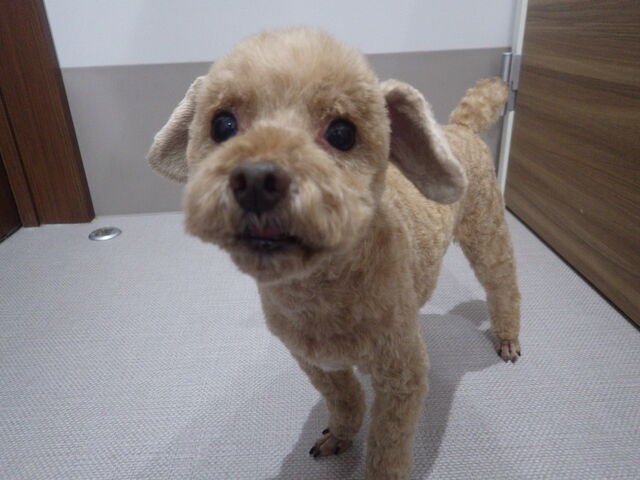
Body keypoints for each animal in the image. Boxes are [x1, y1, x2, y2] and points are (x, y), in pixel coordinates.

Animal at [147, 26, 521, 480]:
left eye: (342, 133)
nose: (256, 180)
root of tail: (460, 127)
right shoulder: (314, 359)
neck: (322, 290)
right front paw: (340, 434)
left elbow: (388, 445)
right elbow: (344, 397)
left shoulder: (401, 372)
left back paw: (507, 336)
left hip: (486, 231)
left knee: (502, 280)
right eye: (222, 124)